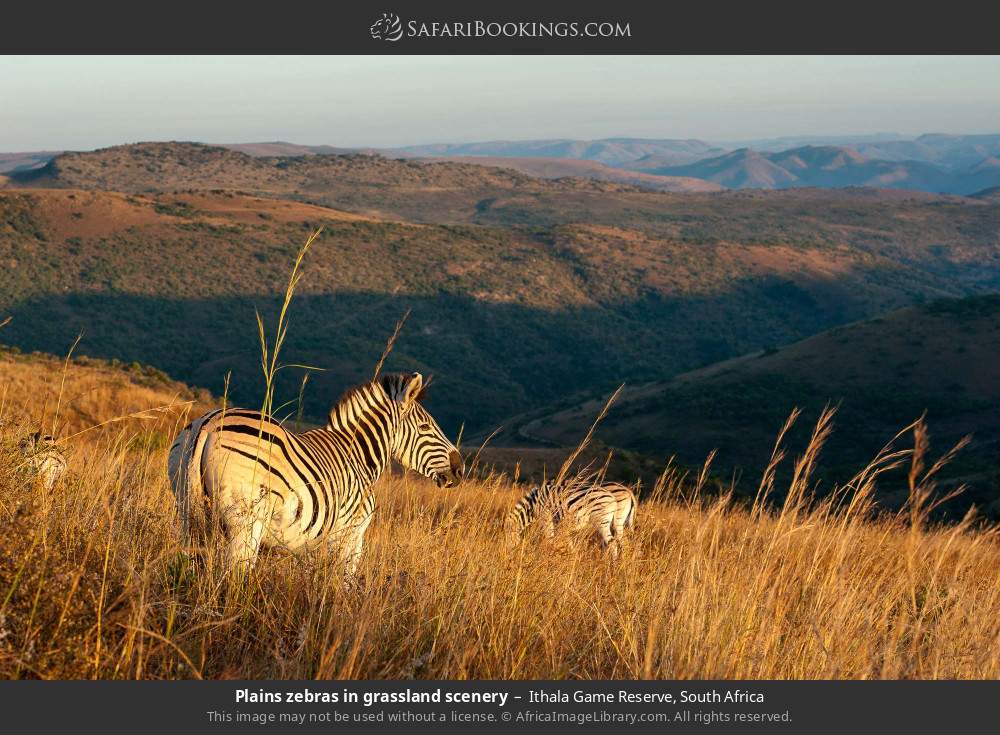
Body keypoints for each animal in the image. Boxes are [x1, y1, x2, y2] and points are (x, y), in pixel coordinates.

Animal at [168, 372, 463, 577]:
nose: (460, 469)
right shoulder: (350, 533)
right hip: (246, 522)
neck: (358, 457)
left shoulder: (310, 540)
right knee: (233, 578)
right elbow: (344, 582)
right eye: (425, 428)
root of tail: (208, 424)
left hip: (186, 510)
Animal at [506, 477, 637, 558]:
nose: (509, 555)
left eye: (508, 538)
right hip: (618, 521)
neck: (534, 504)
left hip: (603, 521)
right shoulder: (561, 523)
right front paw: (571, 557)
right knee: (623, 541)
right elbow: (568, 542)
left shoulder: (546, 516)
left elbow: (549, 538)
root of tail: (629, 491)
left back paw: (614, 566)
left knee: (613, 542)